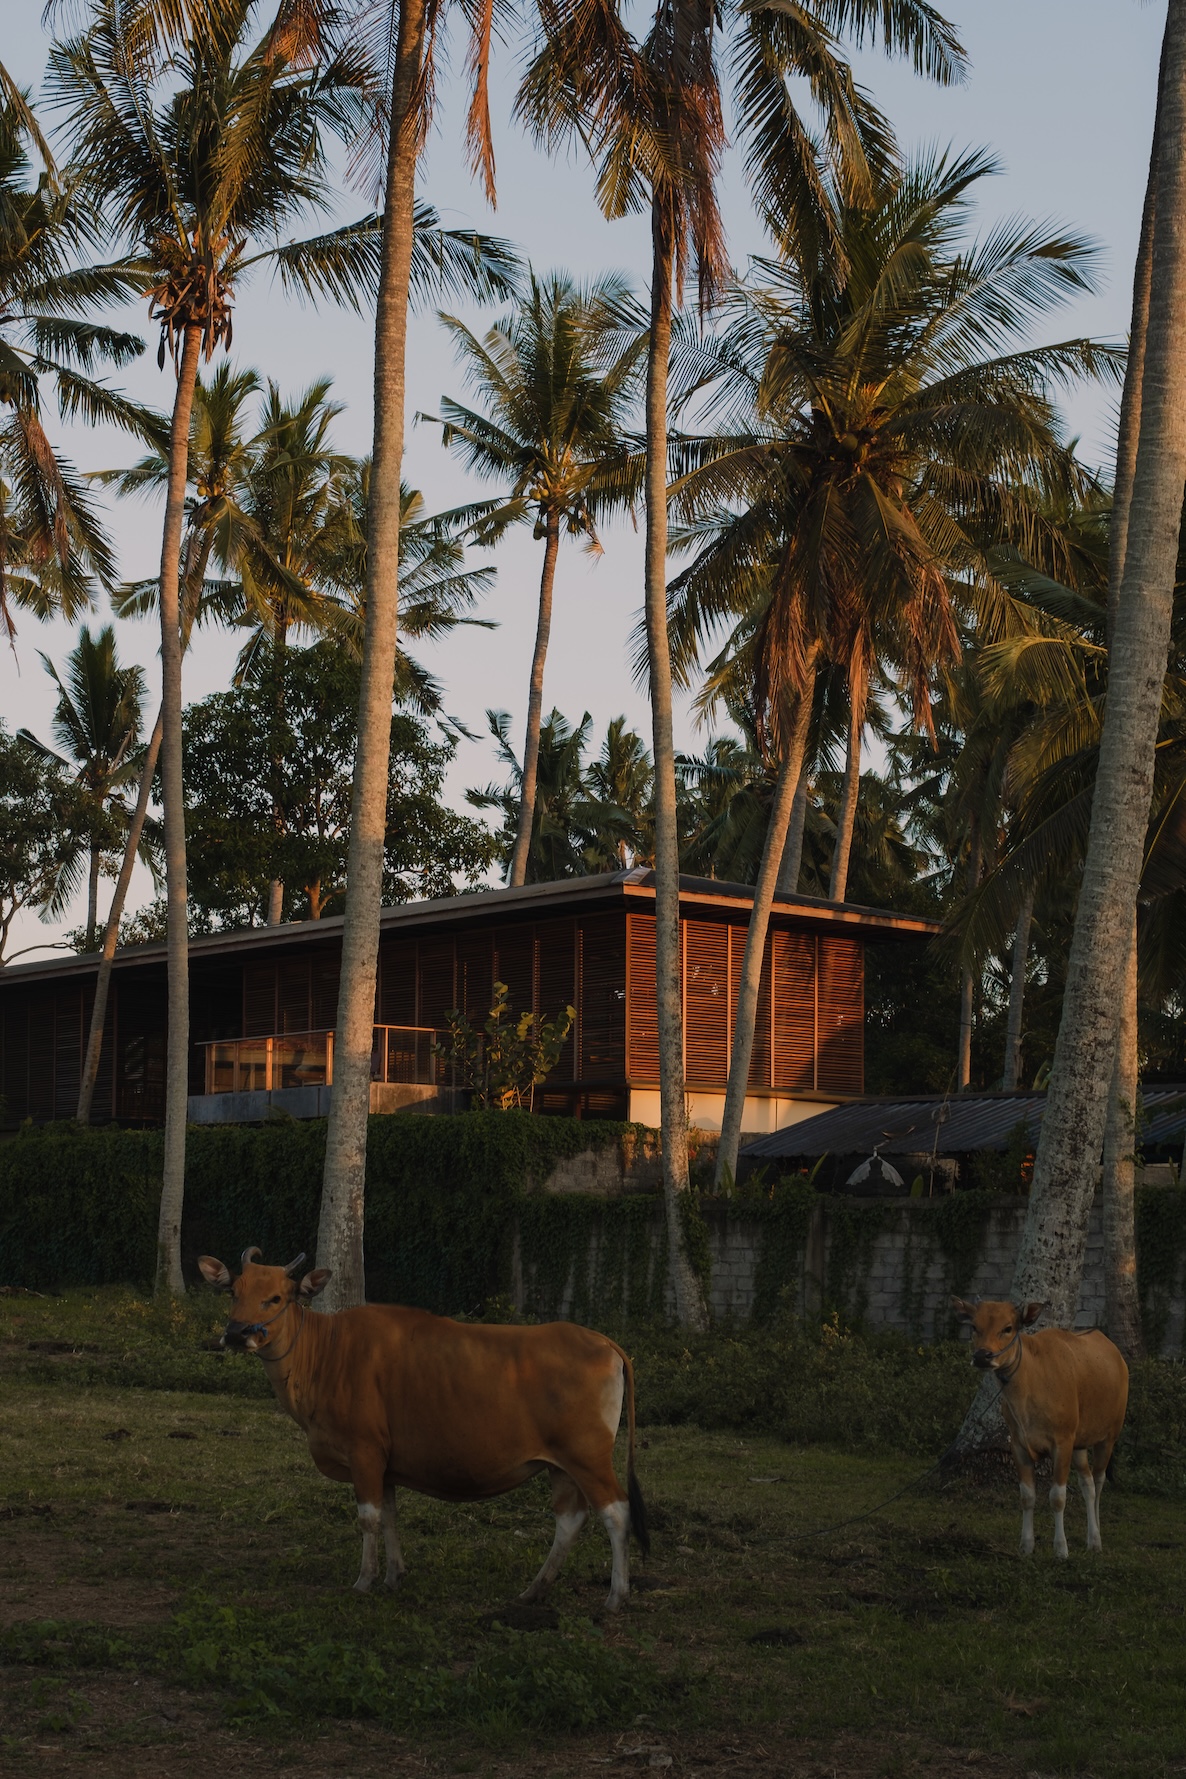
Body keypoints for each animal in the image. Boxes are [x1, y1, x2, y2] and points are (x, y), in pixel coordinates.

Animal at [201, 1252, 650, 1615]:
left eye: (276, 1298)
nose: (238, 1333)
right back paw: (534, 1590)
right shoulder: (385, 1465)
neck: (327, 1352)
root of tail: (605, 1342)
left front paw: (364, 1580)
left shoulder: (364, 1452)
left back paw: (616, 1595)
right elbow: (390, 1517)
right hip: (561, 1464)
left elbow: (368, 1519)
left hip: (588, 1457)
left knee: (616, 1513)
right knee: (570, 1519)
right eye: (233, 1291)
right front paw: (394, 1575)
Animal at [953, 1295, 1130, 1558]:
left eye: (1008, 1328)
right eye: (975, 1326)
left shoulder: (1062, 1443)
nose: (983, 1356)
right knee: (1087, 1483)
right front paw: (1026, 1545)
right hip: (1079, 1444)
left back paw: (1096, 1537)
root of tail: (1118, 1357)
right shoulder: (1018, 1445)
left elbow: (1057, 1497)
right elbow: (1027, 1496)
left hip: (1108, 1437)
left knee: (1099, 1483)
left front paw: (1061, 1549)